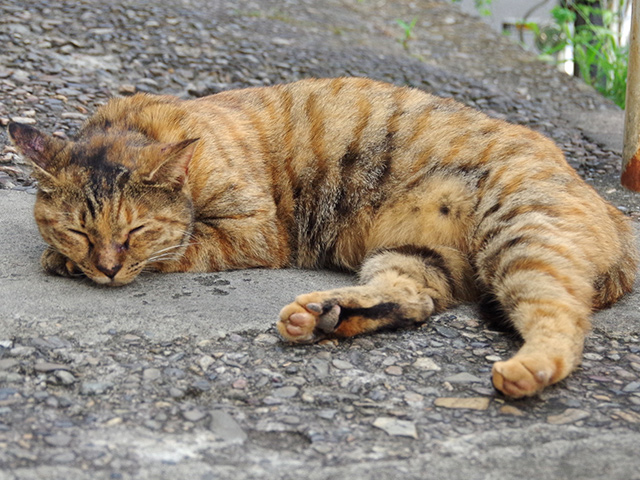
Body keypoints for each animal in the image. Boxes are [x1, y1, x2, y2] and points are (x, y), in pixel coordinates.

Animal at [7, 78, 636, 398]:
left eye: (134, 231)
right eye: (78, 229)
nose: (108, 268)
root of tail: (614, 208)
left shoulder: (250, 231)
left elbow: (180, 248)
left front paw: (65, 264)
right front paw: (67, 259)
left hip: (523, 235)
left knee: (564, 321)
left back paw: (528, 368)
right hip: (417, 255)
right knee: (411, 301)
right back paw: (325, 316)